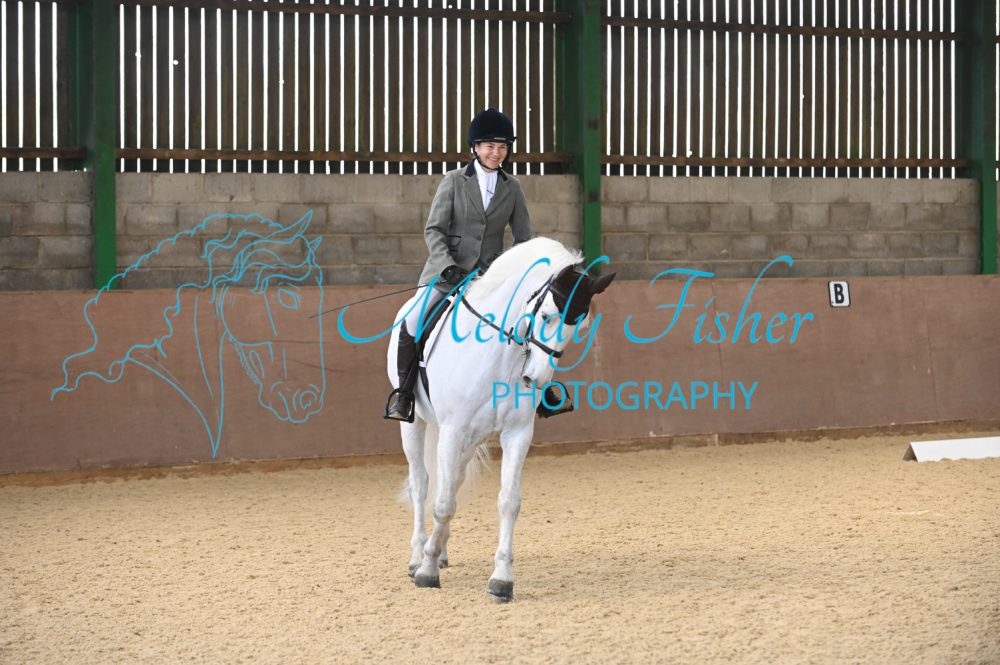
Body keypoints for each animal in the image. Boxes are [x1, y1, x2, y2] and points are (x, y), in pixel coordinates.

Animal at [387, 237, 615, 602]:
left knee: (452, 481)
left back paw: (440, 550)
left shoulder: (517, 434)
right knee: (422, 484)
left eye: (577, 327)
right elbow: (442, 503)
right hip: (415, 425)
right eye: (546, 315)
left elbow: (508, 502)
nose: (535, 379)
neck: (499, 355)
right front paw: (426, 571)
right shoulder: (452, 431)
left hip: (469, 442)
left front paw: (501, 580)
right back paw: (417, 556)